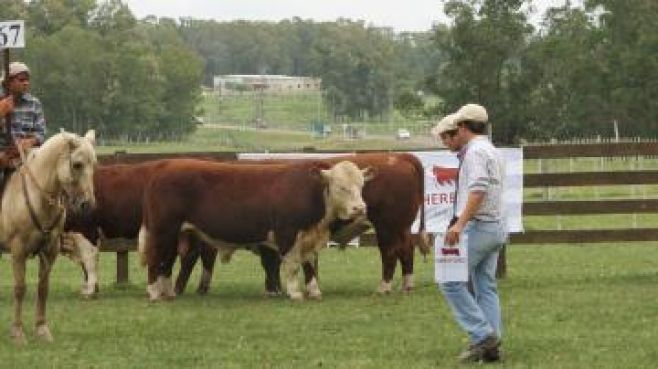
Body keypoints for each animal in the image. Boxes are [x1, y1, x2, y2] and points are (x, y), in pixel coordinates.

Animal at [0, 129, 96, 342]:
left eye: (94, 164)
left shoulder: (50, 250)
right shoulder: (18, 251)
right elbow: (20, 288)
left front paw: (42, 329)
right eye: (77, 164)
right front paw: (17, 332)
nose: (88, 205)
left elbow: (43, 288)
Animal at [137, 157, 374, 300]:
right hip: (162, 230)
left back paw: (168, 293)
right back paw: (154, 293)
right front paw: (295, 293)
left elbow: (309, 266)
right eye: (341, 187)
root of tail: (165, 166)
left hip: (176, 233)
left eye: (361, 185)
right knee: (155, 258)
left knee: (167, 261)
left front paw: (314, 291)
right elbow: (293, 266)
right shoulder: (288, 235)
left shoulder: (309, 238)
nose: (360, 208)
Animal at [174, 152, 430, 296]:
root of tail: (399, 157)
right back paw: (407, 285)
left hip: (388, 226)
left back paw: (384, 287)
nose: (178, 289)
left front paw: (275, 290)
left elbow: (272, 263)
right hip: (401, 227)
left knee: (390, 253)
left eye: (183, 255)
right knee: (406, 250)